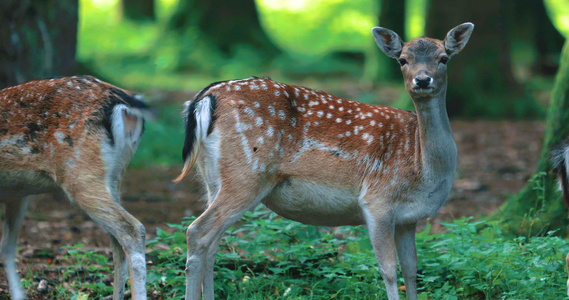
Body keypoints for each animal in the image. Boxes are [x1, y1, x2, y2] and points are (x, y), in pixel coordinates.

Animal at [0, 75, 149, 300]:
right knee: (117, 242)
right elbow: (7, 247)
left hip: (81, 175)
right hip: (114, 175)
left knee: (132, 230)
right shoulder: (18, 194)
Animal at [174, 22, 474, 298]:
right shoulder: (377, 200)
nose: (422, 80)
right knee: (197, 232)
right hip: (246, 174)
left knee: (212, 243)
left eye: (443, 58)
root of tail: (206, 97)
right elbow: (389, 270)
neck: (421, 167)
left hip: (212, 178)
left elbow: (412, 269)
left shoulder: (408, 219)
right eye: (403, 59)